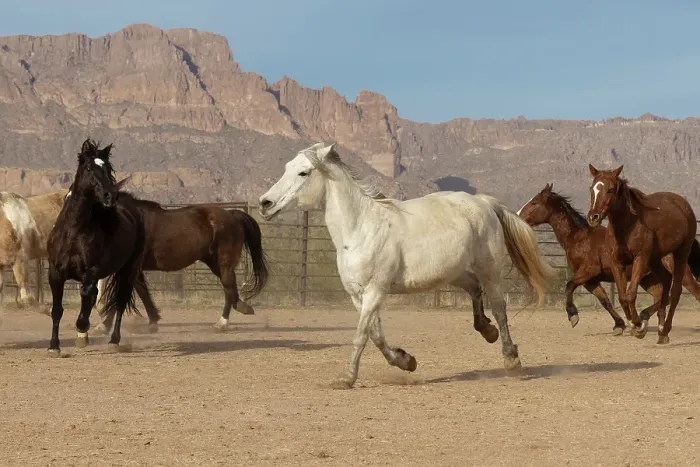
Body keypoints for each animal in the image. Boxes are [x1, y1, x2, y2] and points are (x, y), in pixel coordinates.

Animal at [45, 139, 147, 356]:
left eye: (108, 168)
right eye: (89, 168)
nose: (110, 195)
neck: (73, 232)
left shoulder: (91, 270)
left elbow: (86, 296)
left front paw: (82, 326)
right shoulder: (55, 273)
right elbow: (57, 309)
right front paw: (54, 346)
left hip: (129, 269)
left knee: (120, 301)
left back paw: (114, 341)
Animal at [92, 185, 269, 334]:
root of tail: (232, 215)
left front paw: (103, 325)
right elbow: (142, 291)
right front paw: (153, 320)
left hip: (224, 263)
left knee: (229, 289)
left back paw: (221, 323)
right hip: (215, 263)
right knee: (232, 289)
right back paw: (243, 307)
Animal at [259, 142, 556, 389]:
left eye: (303, 173)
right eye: (287, 168)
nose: (265, 204)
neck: (361, 228)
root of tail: (483, 201)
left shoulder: (375, 292)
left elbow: (361, 335)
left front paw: (346, 379)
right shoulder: (358, 295)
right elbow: (375, 335)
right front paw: (406, 361)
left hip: (489, 269)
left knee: (499, 308)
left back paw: (511, 360)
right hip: (453, 272)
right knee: (475, 290)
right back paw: (487, 330)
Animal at [518, 183, 700, 336]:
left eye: (534, 202)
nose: (518, 215)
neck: (579, 238)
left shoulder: (588, 272)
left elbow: (569, 286)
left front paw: (573, 316)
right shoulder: (590, 281)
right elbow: (605, 301)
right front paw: (619, 325)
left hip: (680, 274)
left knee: (692, 291)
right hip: (647, 279)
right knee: (661, 296)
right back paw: (645, 319)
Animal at [587, 164, 700, 344]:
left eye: (610, 189)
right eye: (592, 188)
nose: (593, 217)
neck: (626, 226)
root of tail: (683, 204)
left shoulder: (640, 258)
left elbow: (631, 294)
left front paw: (639, 327)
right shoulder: (616, 262)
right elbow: (623, 297)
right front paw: (635, 325)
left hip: (680, 254)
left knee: (676, 291)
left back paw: (665, 329)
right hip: (655, 259)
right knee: (665, 284)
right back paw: (661, 331)